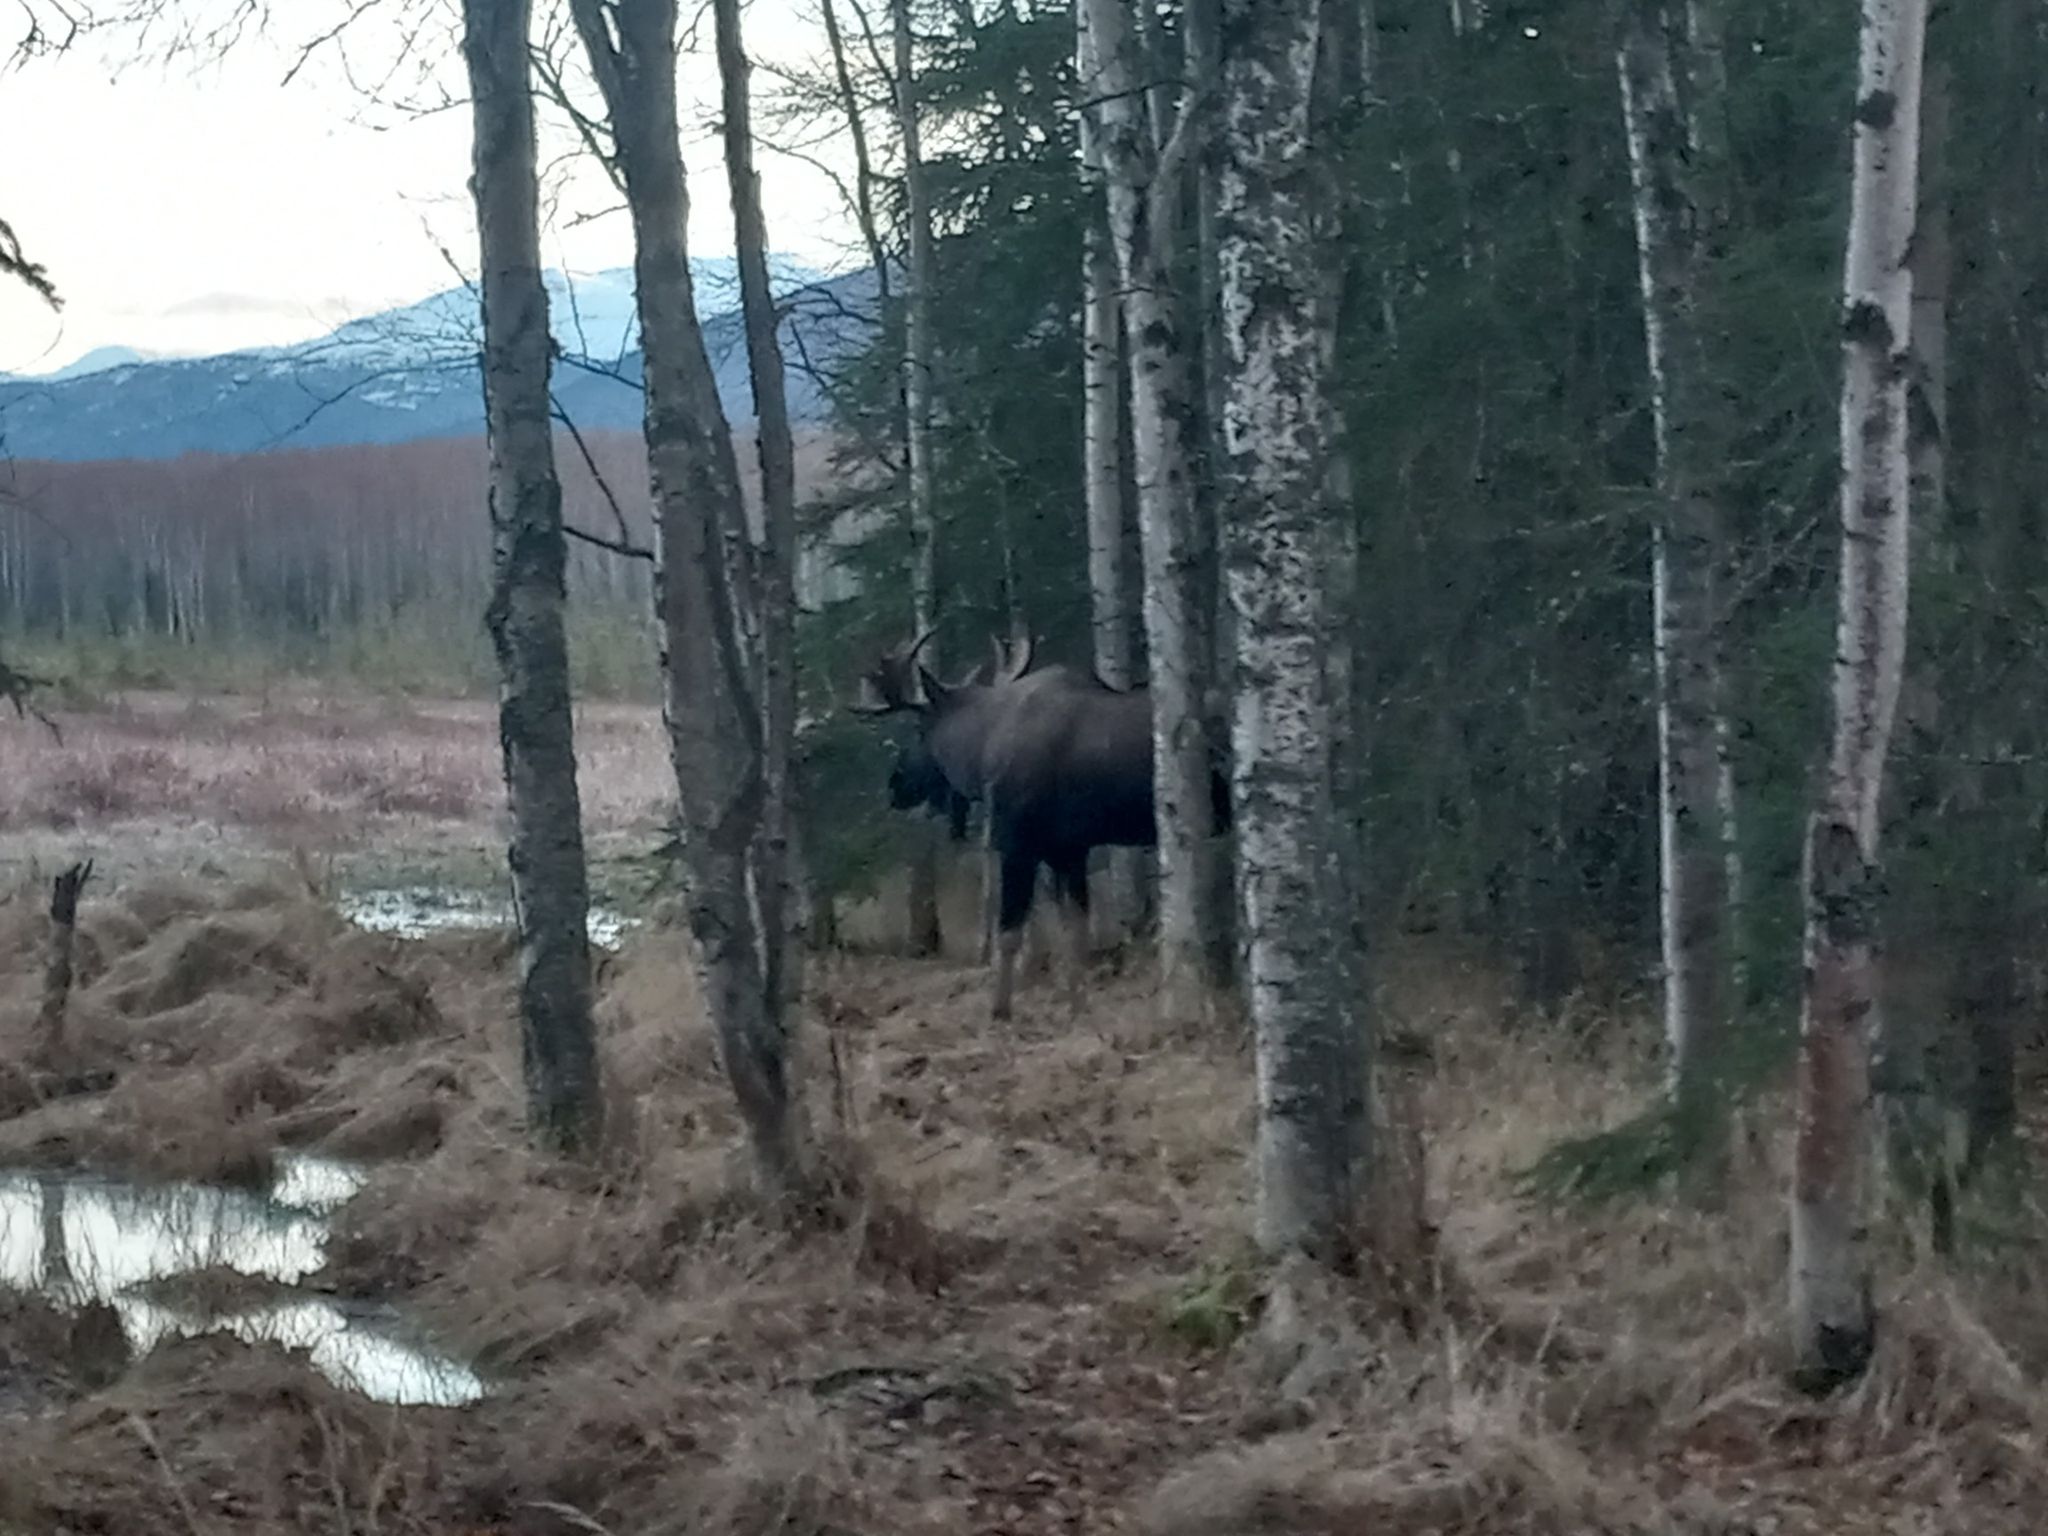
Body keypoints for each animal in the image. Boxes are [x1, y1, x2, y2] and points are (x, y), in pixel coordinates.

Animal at [851, 628, 1231, 1020]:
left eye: (918, 729)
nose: (895, 785)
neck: (979, 752)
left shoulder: (1018, 843)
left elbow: (1009, 931)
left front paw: (1000, 1010)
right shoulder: (1068, 850)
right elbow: (1075, 929)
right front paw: (1077, 1006)